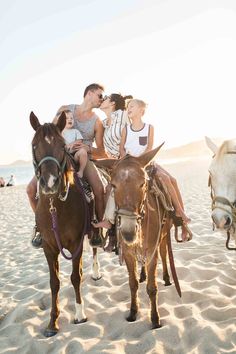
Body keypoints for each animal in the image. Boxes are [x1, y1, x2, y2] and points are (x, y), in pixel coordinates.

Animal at [29, 112, 99, 336]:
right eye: (34, 145)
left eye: (62, 145)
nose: (50, 182)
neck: (55, 205)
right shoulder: (49, 247)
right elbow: (54, 283)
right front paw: (52, 322)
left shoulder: (76, 244)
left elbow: (76, 277)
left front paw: (79, 314)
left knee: (95, 247)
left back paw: (96, 273)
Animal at [94, 145, 175, 330]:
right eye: (113, 185)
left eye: (143, 184)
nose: (128, 232)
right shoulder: (128, 253)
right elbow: (133, 284)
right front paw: (133, 312)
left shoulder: (152, 251)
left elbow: (152, 288)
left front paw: (155, 319)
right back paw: (143, 274)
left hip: (163, 236)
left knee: (164, 254)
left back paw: (167, 278)